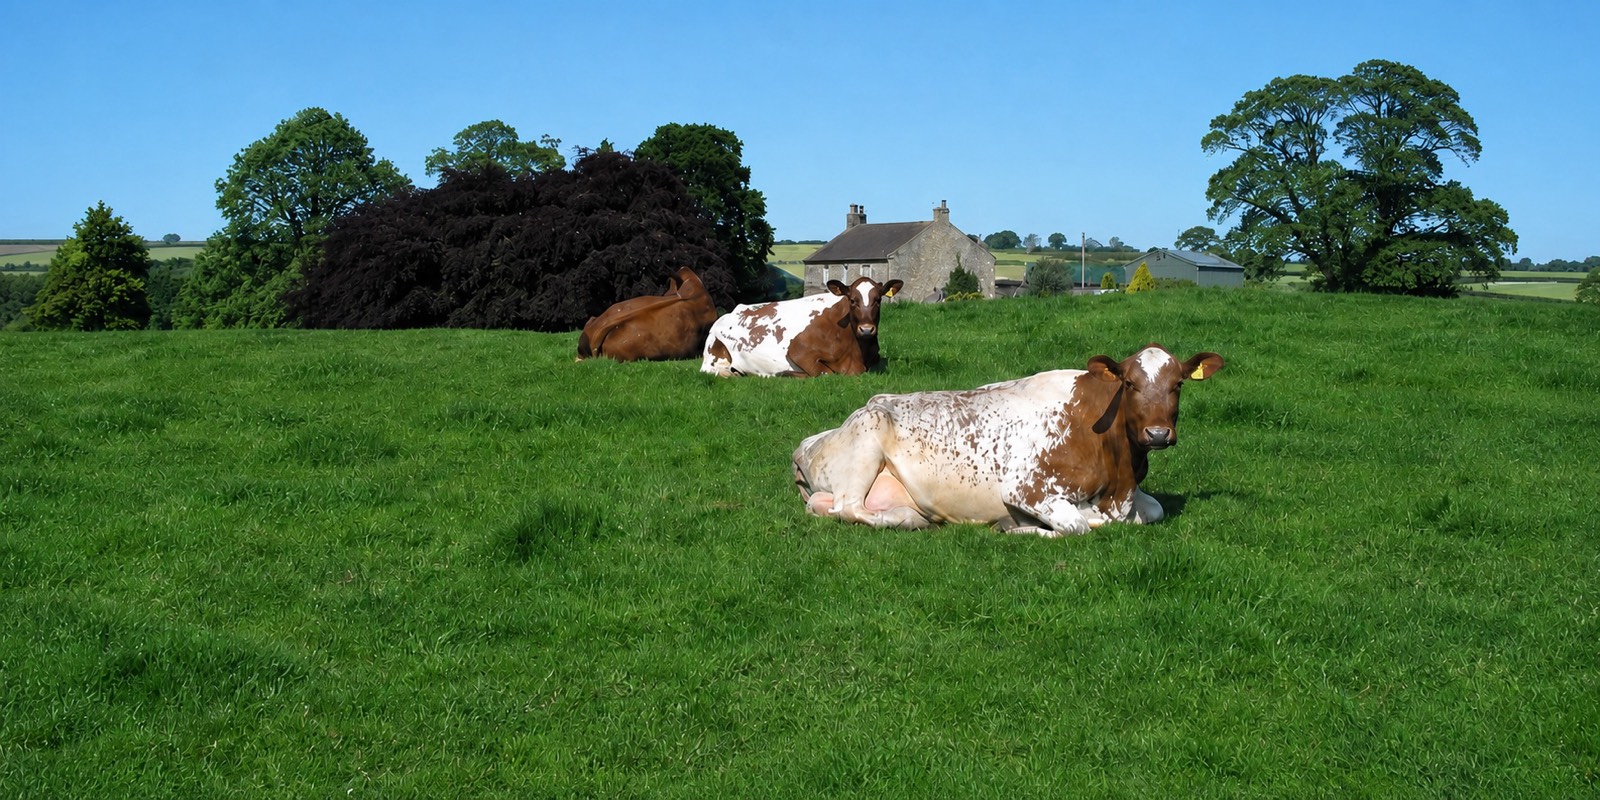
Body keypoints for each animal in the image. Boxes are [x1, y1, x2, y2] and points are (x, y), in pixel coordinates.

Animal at [699, 277, 903, 378]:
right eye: (852, 300)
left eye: (878, 300)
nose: (867, 329)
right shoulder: (799, 350)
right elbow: (825, 373)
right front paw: (784, 373)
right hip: (712, 356)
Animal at [792, 344, 1224, 536]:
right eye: (1130, 384)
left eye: (1178, 384)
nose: (1158, 433)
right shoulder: (1025, 488)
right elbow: (1077, 525)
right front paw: (1017, 527)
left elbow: (1155, 510)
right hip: (868, 434)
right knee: (848, 507)